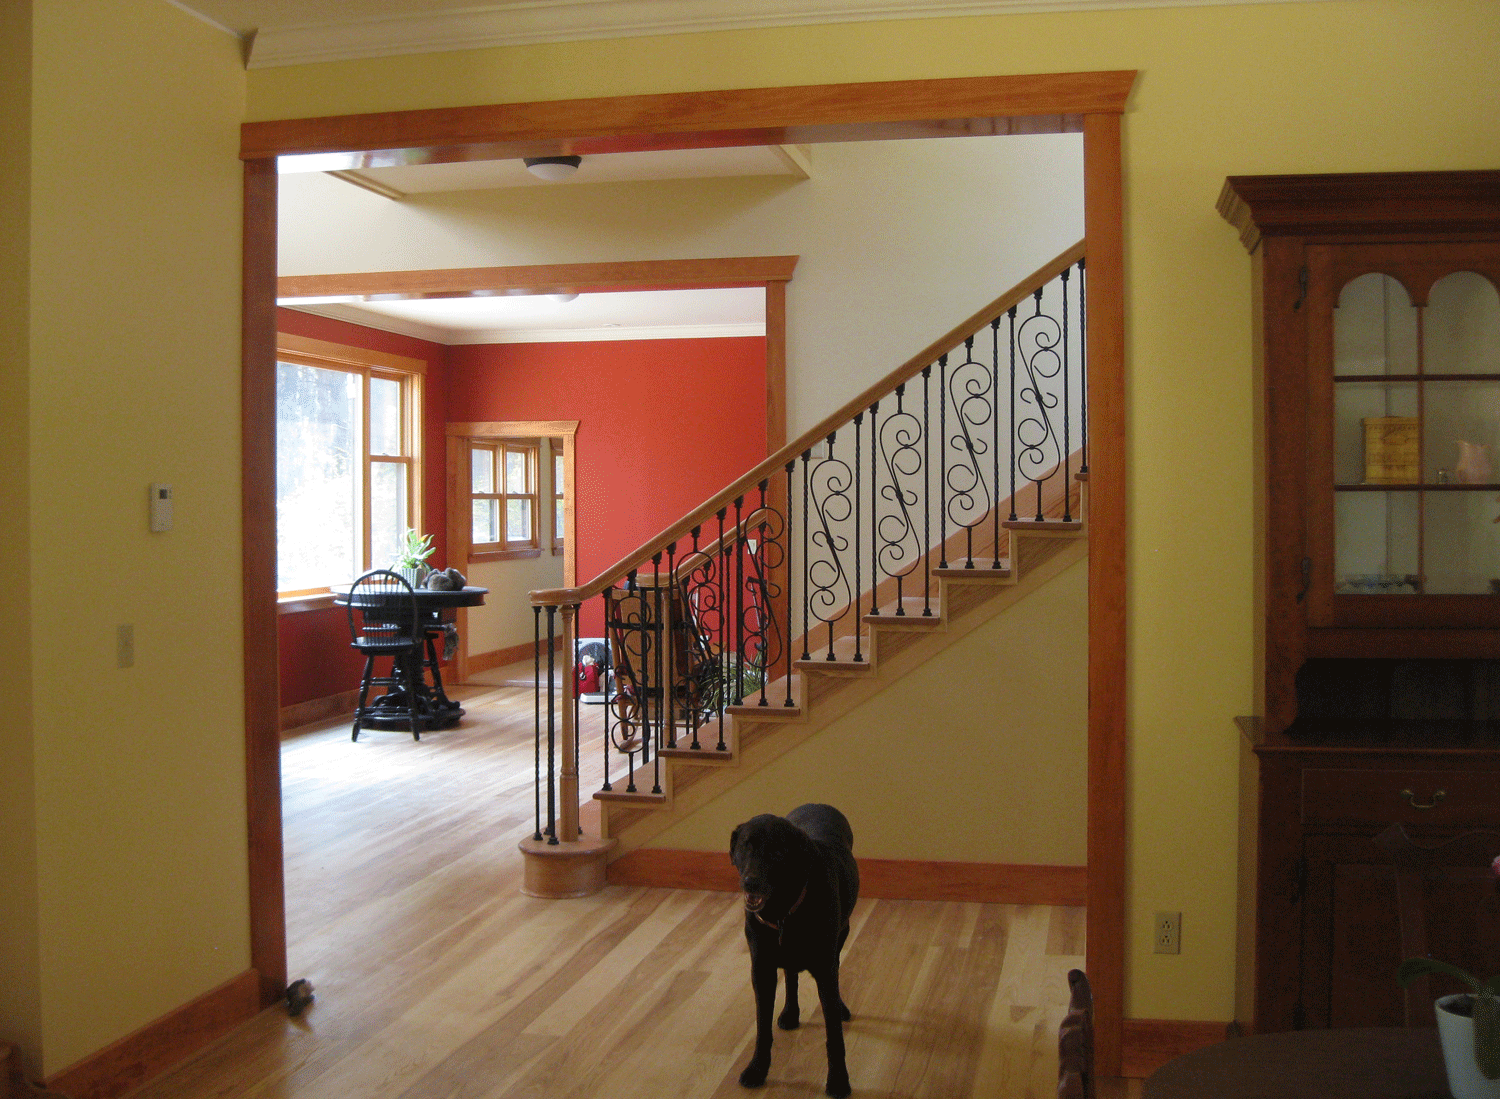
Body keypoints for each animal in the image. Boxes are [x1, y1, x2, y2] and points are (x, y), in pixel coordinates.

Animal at [732, 803, 864, 1091]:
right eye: (746, 845)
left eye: (777, 852)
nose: (750, 882)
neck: (783, 911)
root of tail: (819, 804)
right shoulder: (761, 969)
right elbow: (762, 1027)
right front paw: (757, 1069)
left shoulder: (825, 968)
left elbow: (833, 1033)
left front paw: (838, 1080)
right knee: (791, 976)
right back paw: (791, 1013)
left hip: (842, 934)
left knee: (835, 969)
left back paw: (839, 1007)